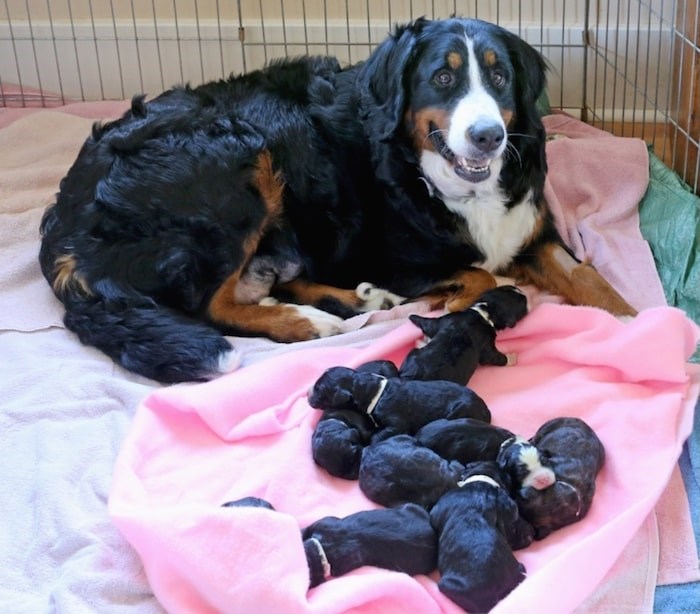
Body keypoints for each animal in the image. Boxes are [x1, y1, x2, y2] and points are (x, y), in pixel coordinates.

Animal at [396, 288, 528, 384]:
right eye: (523, 305)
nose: (524, 293)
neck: (486, 311)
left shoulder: (447, 319)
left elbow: (429, 323)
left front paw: (412, 316)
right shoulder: (486, 344)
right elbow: (494, 357)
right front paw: (511, 358)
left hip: (412, 354)